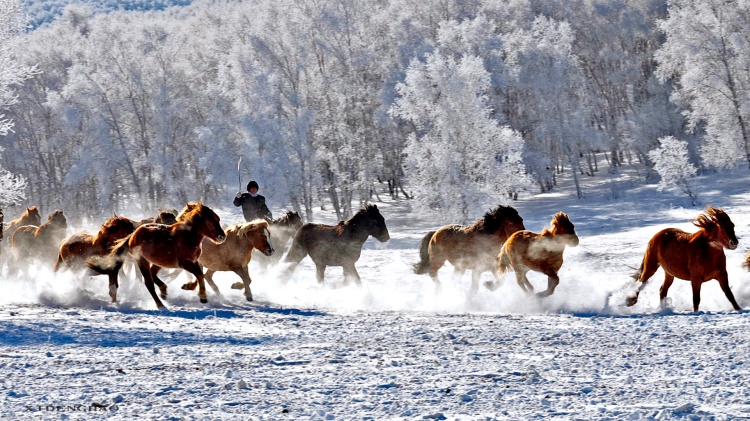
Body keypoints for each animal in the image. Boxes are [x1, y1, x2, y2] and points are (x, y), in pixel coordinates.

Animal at [88, 202, 226, 306]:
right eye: (210, 221)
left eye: (218, 219)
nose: (222, 237)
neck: (188, 236)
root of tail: (133, 235)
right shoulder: (184, 263)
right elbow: (199, 274)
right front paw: (202, 296)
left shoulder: (194, 261)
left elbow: (199, 274)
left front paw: (188, 287)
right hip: (142, 261)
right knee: (148, 283)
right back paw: (161, 305)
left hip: (158, 261)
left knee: (153, 274)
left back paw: (163, 291)